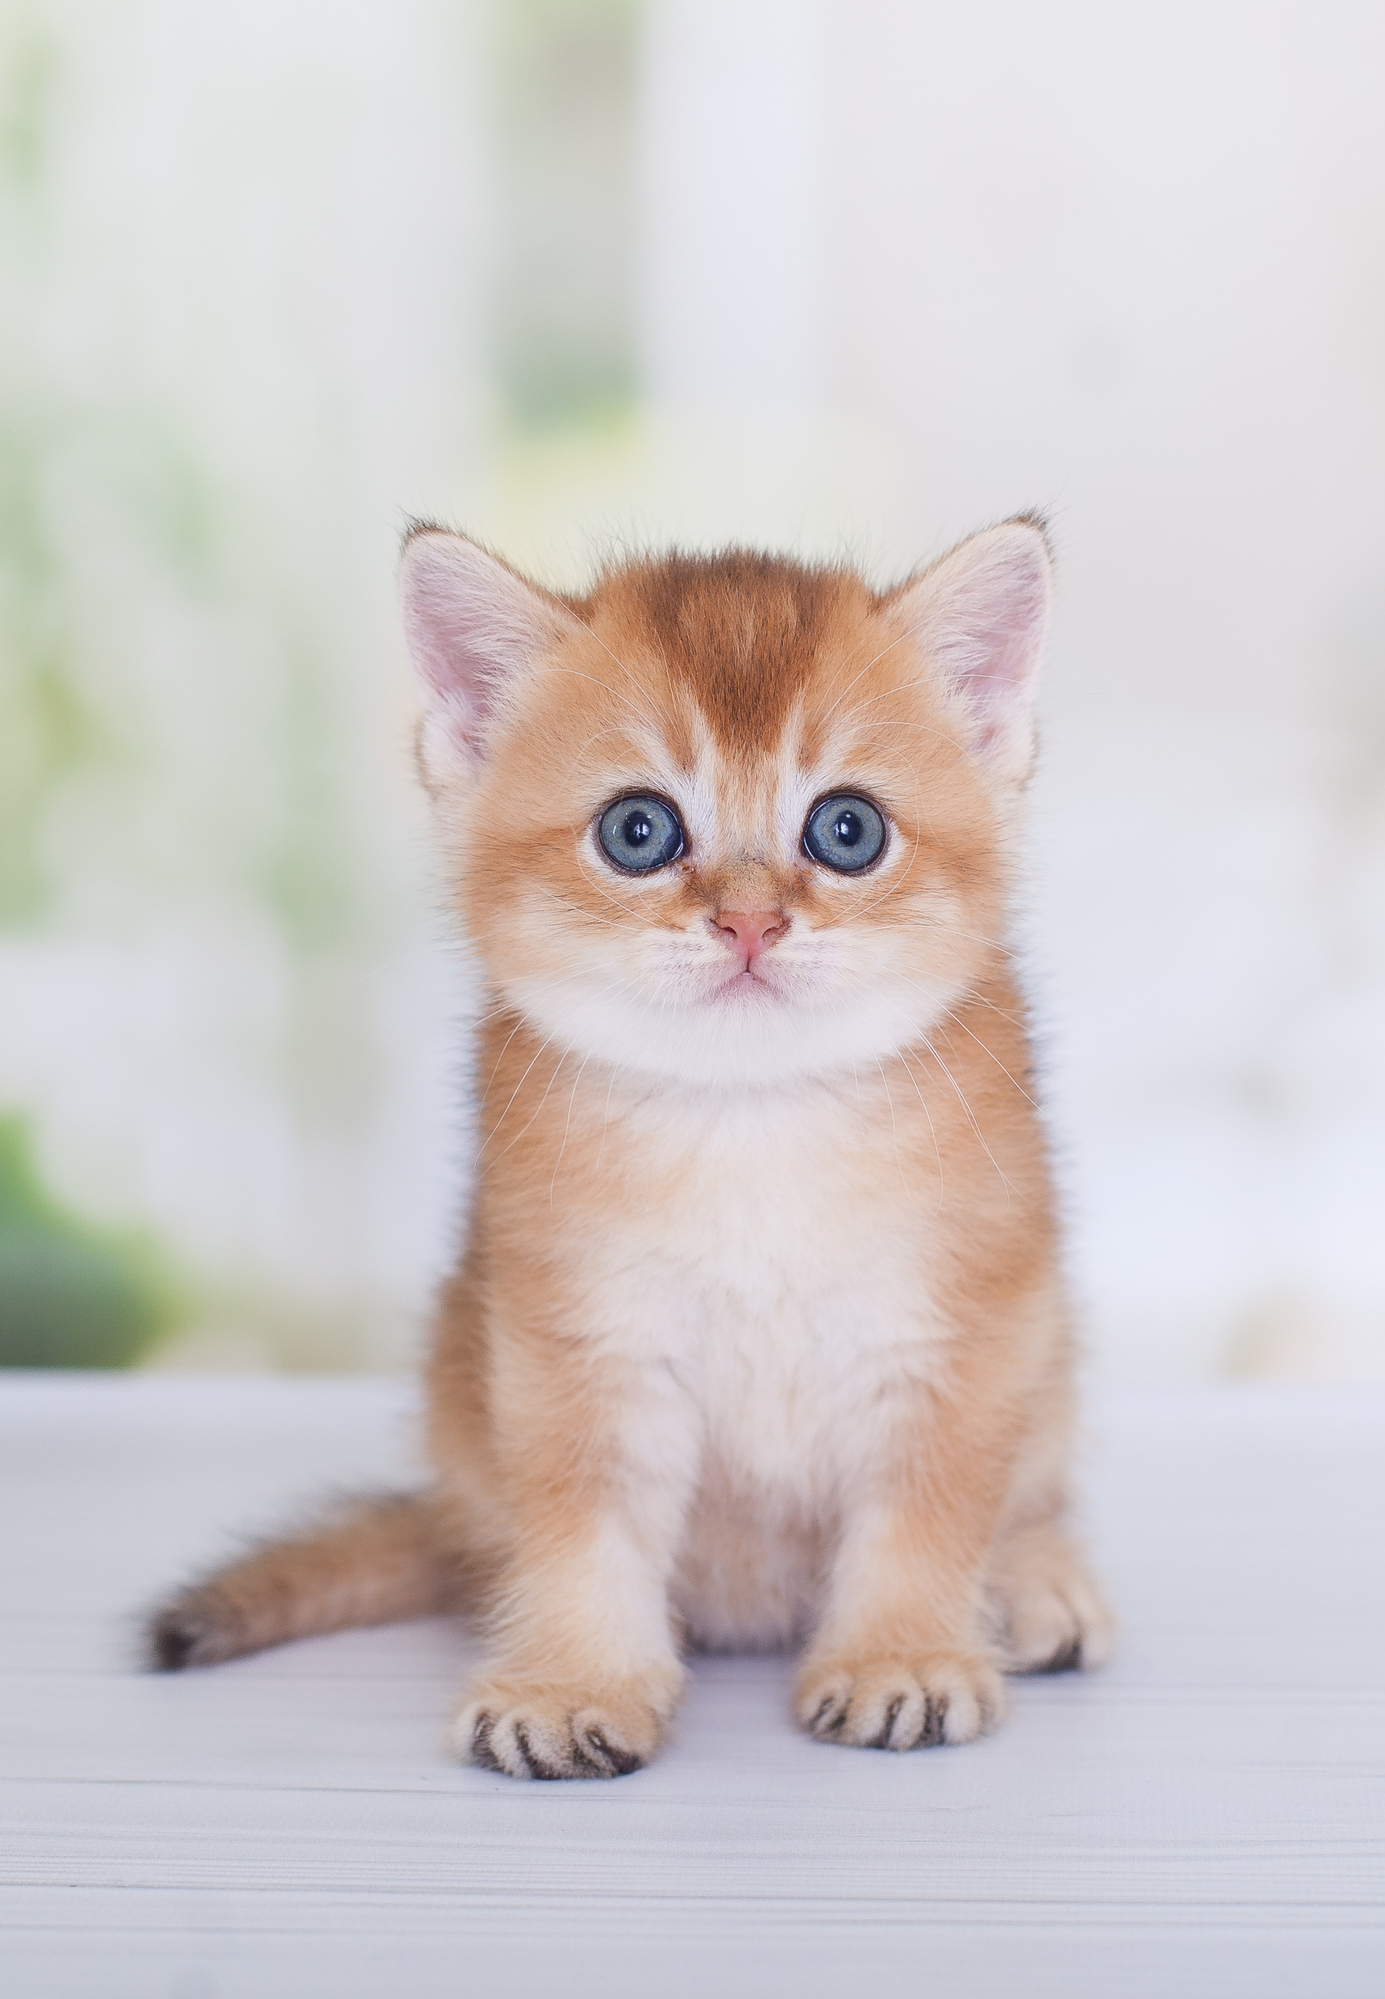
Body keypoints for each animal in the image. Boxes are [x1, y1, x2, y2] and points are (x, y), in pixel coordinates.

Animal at [145, 515, 1111, 1783]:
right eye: (637, 830)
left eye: (845, 830)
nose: (747, 921)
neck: (750, 1119)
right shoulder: (576, 1342)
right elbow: (581, 1522)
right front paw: (570, 1681)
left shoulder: (956, 1332)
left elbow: (924, 1508)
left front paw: (898, 1656)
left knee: (1034, 1492)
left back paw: (1037, 1582)